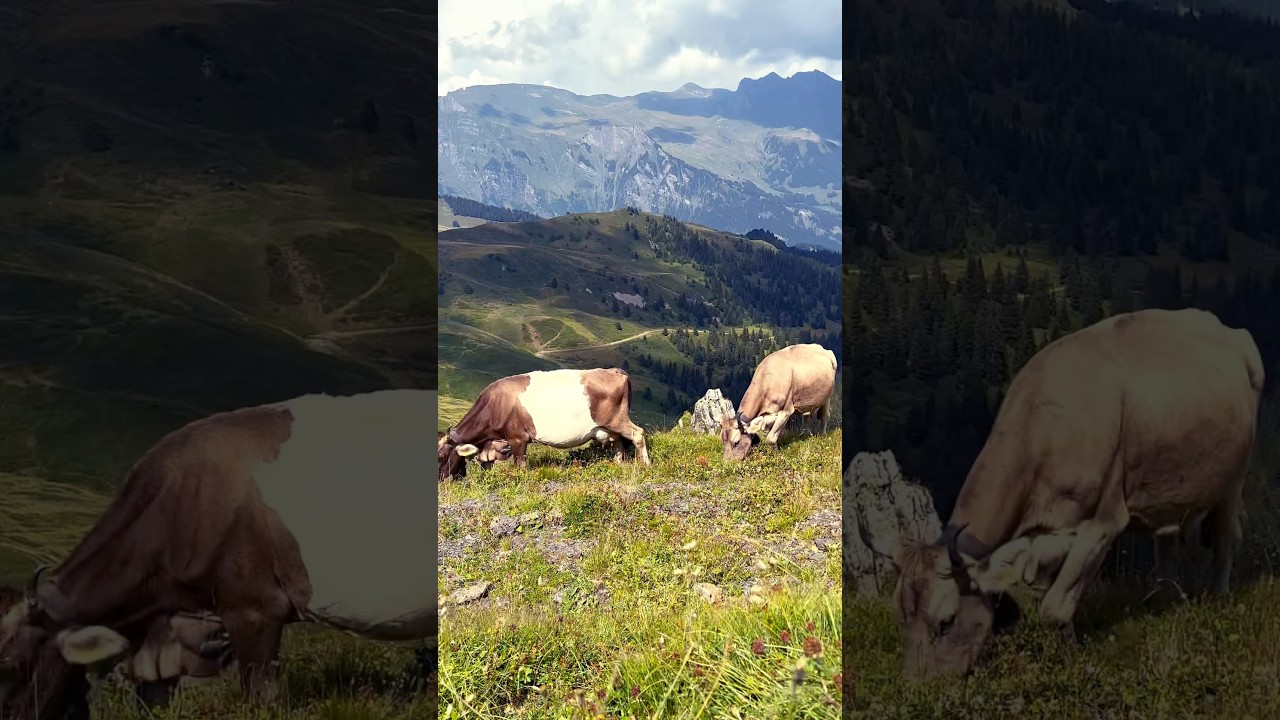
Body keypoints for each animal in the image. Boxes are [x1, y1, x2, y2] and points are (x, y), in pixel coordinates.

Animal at [438, 367, 650, 480]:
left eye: (440, 457)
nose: (440, 480)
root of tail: (614, 370)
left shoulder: (517, 438)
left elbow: (520, 465)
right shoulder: (492, 444)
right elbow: (487, 466)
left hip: (617, 420)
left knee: (637, 434)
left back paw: (646, 464)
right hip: (609, 427)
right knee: (618, 443)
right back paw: (618, 465)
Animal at [892, 308, 1263, 680]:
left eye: (947, 621)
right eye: (902, 617)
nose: (916, 685)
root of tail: (1223, 326)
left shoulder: (1102, 524)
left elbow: (1055, 607)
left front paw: (1070, 659)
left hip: (1234, 480)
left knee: (1225, 537)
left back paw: (1217, 595)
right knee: (1168, 541)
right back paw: (1167, 598)